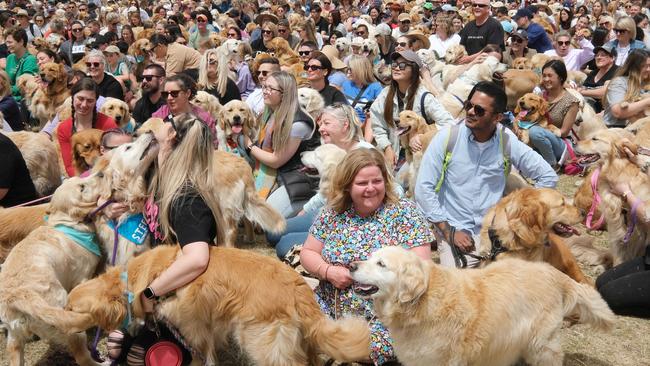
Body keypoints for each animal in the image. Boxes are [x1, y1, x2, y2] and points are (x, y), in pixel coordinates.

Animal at [59, 244, 370, 364]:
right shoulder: (207, 328)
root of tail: (297, 286)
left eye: (72, 309)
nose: (58, 319)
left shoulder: (192, 327)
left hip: (263, 343)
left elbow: (200, 355)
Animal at [350, 246, 612, 366]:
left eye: (381, 264)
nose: (351, 265)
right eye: (371, 257)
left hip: (541, 344)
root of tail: (552, 272)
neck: (421, 302)